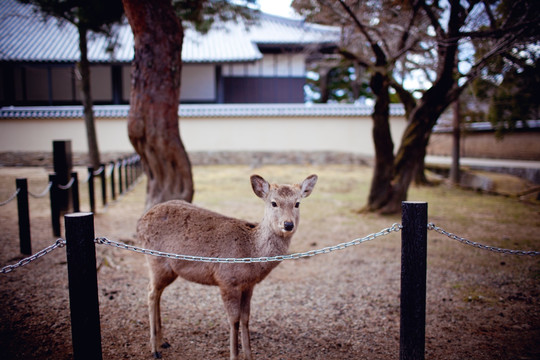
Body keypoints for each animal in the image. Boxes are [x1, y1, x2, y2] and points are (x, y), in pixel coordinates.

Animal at [137, 174, 318, 358]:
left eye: (297, 203)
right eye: (274, 202)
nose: (288, 224)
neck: (251, 253)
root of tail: (140, 223)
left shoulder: (249, 285)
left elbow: (245, 318)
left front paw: (249, 355)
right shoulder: (226, 281)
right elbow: (234, 320)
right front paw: (234, 355)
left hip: (169, 269)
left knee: (158, 293)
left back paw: (163, 342)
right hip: (156, 260)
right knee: (151, 293)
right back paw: (155, 349)